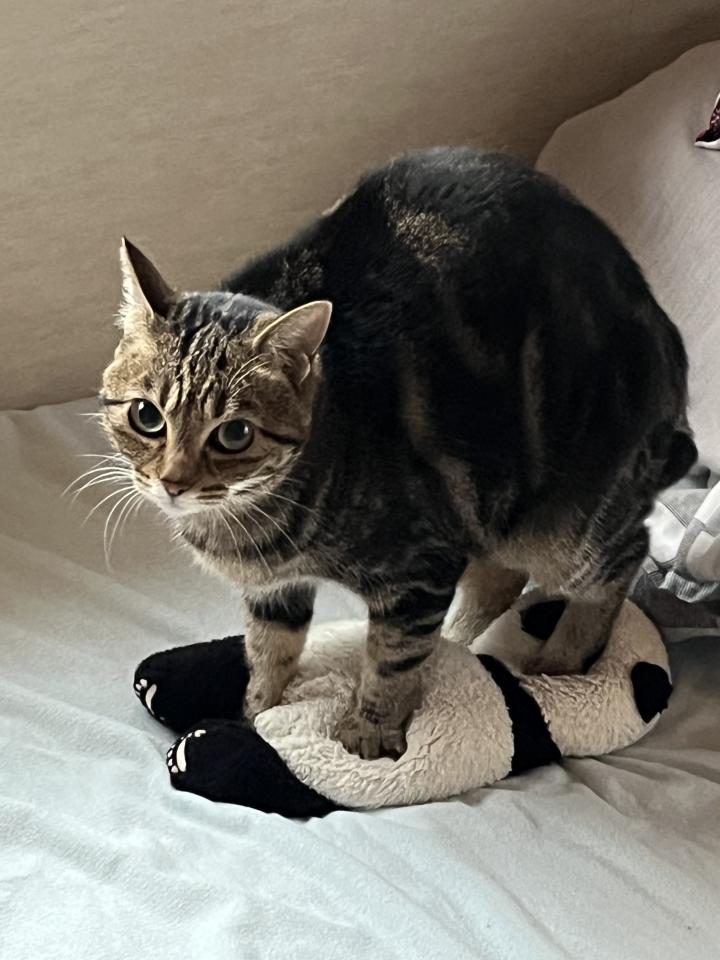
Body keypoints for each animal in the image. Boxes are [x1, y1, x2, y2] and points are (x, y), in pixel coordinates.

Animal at [100, 147, 695, 760]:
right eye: (147, 416)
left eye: (234, 434)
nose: (173, 482)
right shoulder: (275, 590)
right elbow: (269, 650)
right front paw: (258, 709)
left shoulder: (419, 572)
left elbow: (392, 660)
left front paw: (369, 734)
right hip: (497, 505)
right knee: (500, 577)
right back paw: (461, 641)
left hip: (563, 529)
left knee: (622, 557)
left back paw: (558, 664)